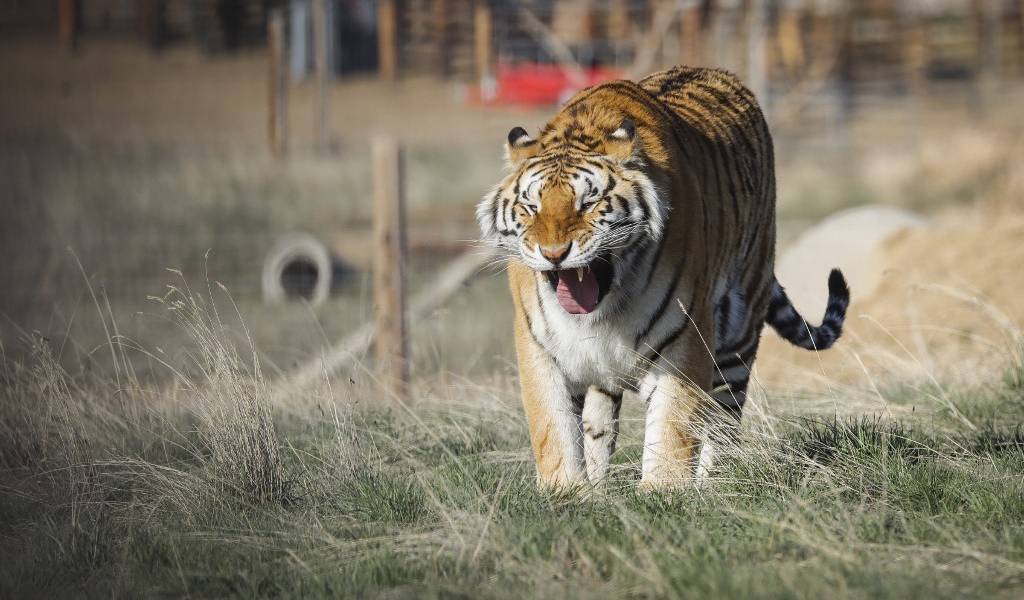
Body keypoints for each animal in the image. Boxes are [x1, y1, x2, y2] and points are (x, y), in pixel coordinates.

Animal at [476, 66, 849, 489]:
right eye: (531, 206)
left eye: (588, 202)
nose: (554, 254)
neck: (605, 310)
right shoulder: (540, 347)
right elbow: (553, 427)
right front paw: (568, 491)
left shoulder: (684, 339)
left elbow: (673, 427)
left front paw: (663, 492)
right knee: (599, 422)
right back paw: (600, 486)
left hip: (739, 331)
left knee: (724, 420)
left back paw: (712, 485)